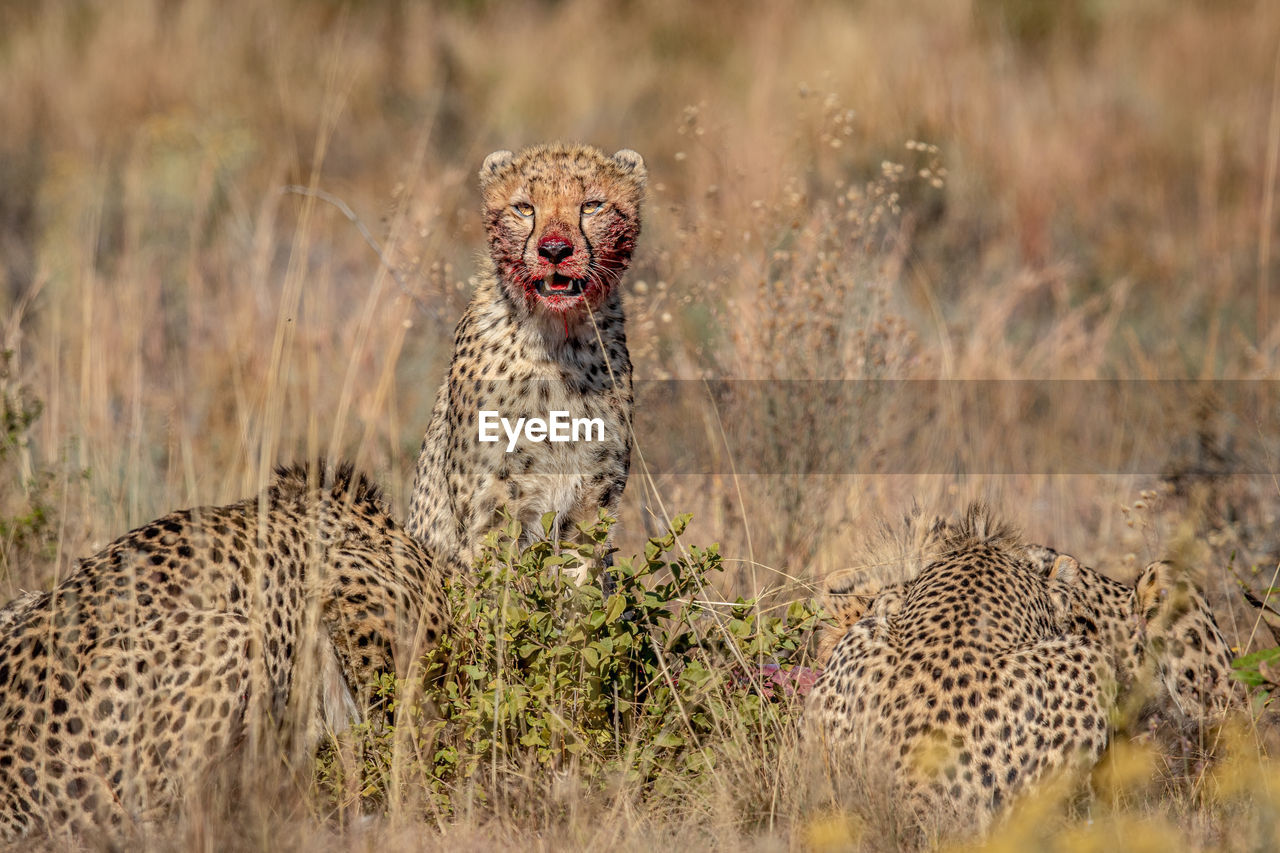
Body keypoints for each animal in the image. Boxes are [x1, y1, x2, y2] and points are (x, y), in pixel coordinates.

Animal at [407, 144, 650, 578]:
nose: (554, 249)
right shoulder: (491, 511)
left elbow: (580, 585)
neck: (557, 343)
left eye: (591, 205)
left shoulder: (593, 504)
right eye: (524, 208)